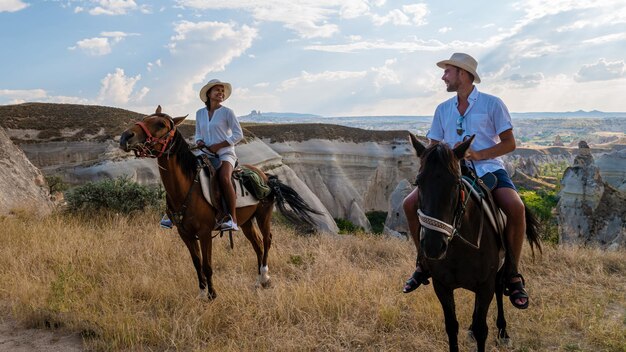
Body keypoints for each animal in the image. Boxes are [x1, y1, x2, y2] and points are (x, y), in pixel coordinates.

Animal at [119, 106, 320, 298]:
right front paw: (201, 293)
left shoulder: (205, 232)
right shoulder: (185, 234)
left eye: (161, 124)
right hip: (246, 222)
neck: (186, 188)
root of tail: (265, 175)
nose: (125, 137)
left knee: (267, 240)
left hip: (263, 215)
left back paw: (265, 277)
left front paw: (212, 294)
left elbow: (207, 265)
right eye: (145, 118)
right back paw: (258, 281)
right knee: (257, 243)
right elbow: (196, 263)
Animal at [408, 134, 540, 352]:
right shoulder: (441, 285)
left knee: (499, 289)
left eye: (455, 183)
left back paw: (503, 331)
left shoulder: (485, 285)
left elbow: (481, 329)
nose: (434, 246)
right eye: (418, 182)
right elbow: (451, 326)